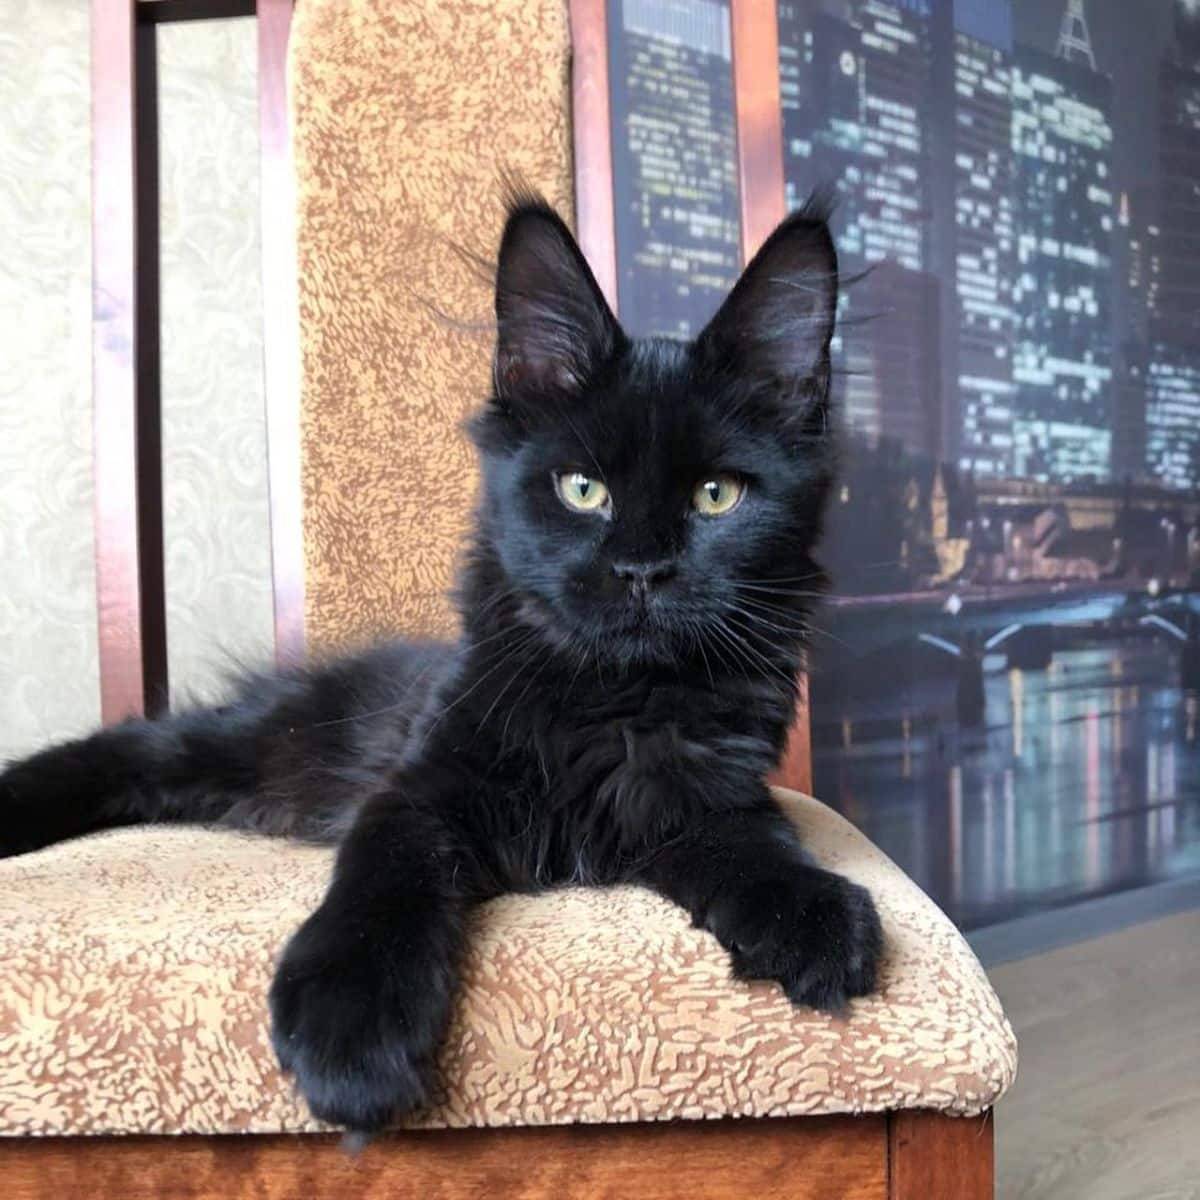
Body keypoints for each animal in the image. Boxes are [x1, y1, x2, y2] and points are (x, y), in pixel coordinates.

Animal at [0, 192, 883, 1128]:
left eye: (716, 496)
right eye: (582, 490)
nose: (642, 571)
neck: (614, 704)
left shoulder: (704, 799)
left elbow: (762, 843)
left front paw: (814, 913)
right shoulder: (419, 790)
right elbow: (383, 878)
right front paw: (350, 1025)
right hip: (239, 741)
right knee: (120, 751)